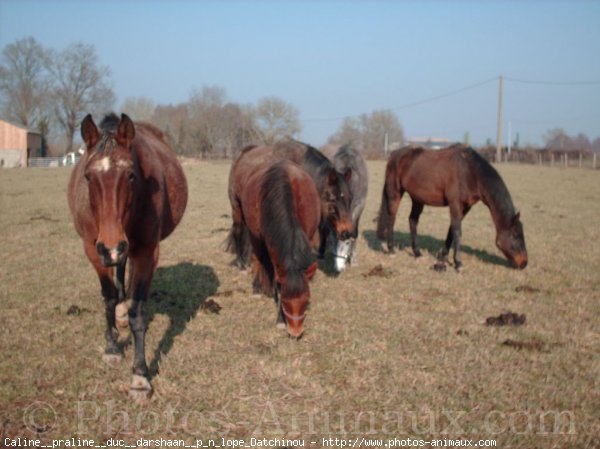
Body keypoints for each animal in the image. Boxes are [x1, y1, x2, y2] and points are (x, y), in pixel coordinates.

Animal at [67, 114, 188, 400]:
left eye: (131, 175)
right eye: (88, 176)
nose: (112, 246)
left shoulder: (146, 251)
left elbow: (138, 313)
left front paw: (140, 377)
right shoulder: (93, 249)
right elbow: (109, 296)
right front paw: (112, 347)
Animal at [231, 150, 322, 336]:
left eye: (306, 299)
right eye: (285, 301)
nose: (295, 332)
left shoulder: (308, 238)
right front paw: (280, 319)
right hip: (242, 218)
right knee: (252, 252)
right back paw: (254, 284)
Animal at [378, 144, 528, 270]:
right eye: (515, 235)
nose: (524, 262)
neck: (470, 172)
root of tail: (394, 154)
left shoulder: (465, 207)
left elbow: (451, 230)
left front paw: (443, 256)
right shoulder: (454, 203)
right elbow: (457, 231)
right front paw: (458, 263)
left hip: (417, 199)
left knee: (412, 220)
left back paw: (417, 253)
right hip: (395, 192)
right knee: (392, 217)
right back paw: (391, 249)